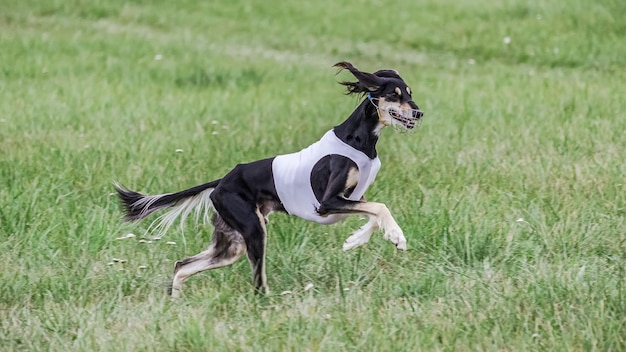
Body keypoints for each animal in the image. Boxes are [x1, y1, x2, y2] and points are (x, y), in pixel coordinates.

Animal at [114, 61, 422, 296]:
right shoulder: (327, 202)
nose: (418, 112)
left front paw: (354, 241)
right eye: (395, 95)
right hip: (253, 229)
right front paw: (397, 236)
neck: (359, 139)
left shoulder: (353, 197)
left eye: (409, 92)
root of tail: (222, 182)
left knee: (182, 265)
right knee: (257, 284)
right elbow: (380, 208)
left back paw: (176, 299)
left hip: (232, 243)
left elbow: (372, 214)